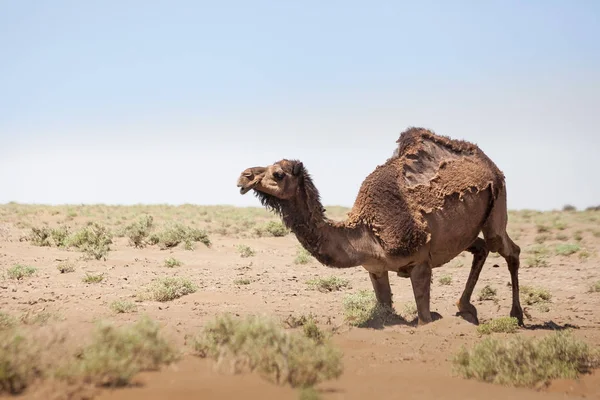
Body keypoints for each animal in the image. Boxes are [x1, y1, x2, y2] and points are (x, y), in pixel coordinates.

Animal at [237, 126, 524, 326]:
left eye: (278, 174)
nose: (244, 176)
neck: (366, 231)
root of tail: (489, 163)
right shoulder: (375, 268)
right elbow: (384, 305)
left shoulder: (420, 262)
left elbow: (424, 318)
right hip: (464, 235)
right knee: (481, 248)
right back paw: (466, 308)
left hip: (498, 201)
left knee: (508, 248)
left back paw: (517, 316)